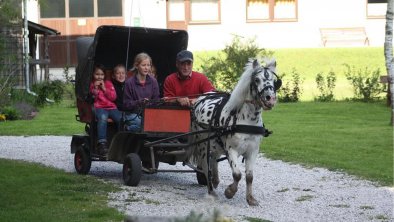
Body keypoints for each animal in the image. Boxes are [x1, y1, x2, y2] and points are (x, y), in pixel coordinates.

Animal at [190, 58, 280, 206]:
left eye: (274, 81)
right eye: (256, 80)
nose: (270, 98)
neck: (247, 121)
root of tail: (200, 99)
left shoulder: (252, 151)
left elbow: (249, 176)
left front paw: (250, 198)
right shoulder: (231, 150)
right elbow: (237, 174)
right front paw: (229, 192)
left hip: (216, 144)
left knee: (213, 159)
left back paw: (215, 180)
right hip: (203, 145)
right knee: (205, 165)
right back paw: (211, 191)